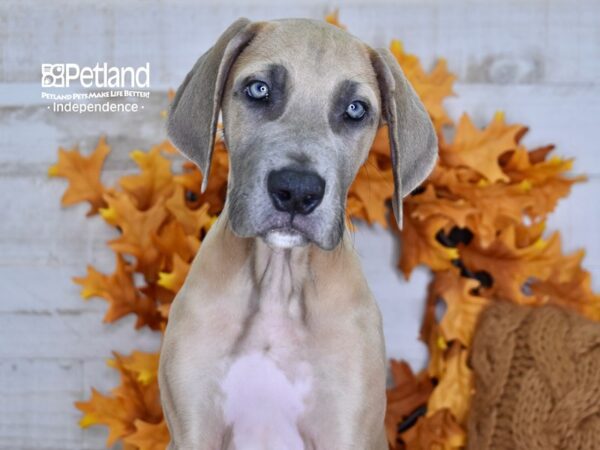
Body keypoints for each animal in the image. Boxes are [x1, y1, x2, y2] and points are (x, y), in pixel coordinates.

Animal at [159, 15, 436, 448]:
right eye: (259, 89)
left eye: (355, 109)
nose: (297, 192)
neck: (278, 282)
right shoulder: (193, 430)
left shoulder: (345, 429)